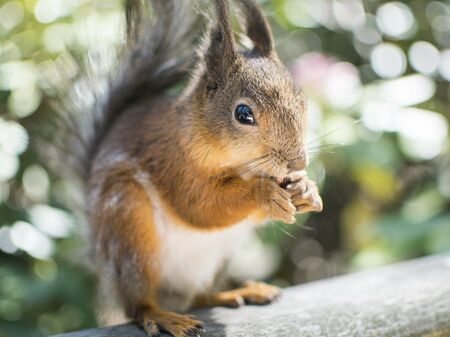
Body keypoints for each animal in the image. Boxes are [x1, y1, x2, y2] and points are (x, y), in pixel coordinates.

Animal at [41, 0, 324, 336]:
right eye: (243, 113)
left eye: (302, 100)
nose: (299, 163)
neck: (240, 166)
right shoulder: (174, 163)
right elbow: (200, 206)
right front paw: (265, 193)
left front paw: (307, 189)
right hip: (129, 228)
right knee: (138, 305)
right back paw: (164, 316)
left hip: (216, 260)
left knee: (198, 297)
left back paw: (236, 292)